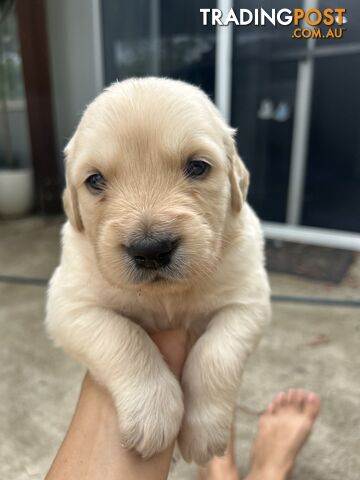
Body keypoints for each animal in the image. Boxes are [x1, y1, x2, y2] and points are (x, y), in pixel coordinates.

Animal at [45, 77, 270, 464]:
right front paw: (153, 412)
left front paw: (203, 431)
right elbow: (123, 336)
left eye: (197, 167)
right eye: (95, 180)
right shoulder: (69, 305)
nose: (151, 250)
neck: (166, 295)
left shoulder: (249, 299)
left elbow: (216, 352)